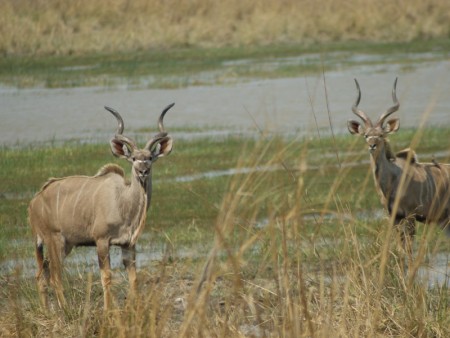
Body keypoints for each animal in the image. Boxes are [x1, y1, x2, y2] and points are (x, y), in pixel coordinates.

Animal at [28, 103, 174, 308]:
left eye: (150, 158)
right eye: (134, 158)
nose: (143, 171)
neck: (123, 202)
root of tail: (34, 201)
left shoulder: (128, 244)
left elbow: (133, 277)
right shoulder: (101, 240)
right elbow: (106, 276)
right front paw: (108, 310)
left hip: (65, 245)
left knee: (42, 274)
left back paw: (48, 311)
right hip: (53, 240)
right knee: (55, 276)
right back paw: (65, 310)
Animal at [348, 78, 450, 254]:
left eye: (381, 135)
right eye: (366, 135)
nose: (372, 146)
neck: (392, 180)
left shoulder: (410, 215)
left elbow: (408, 251)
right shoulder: (394, 218)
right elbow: (400, 250)